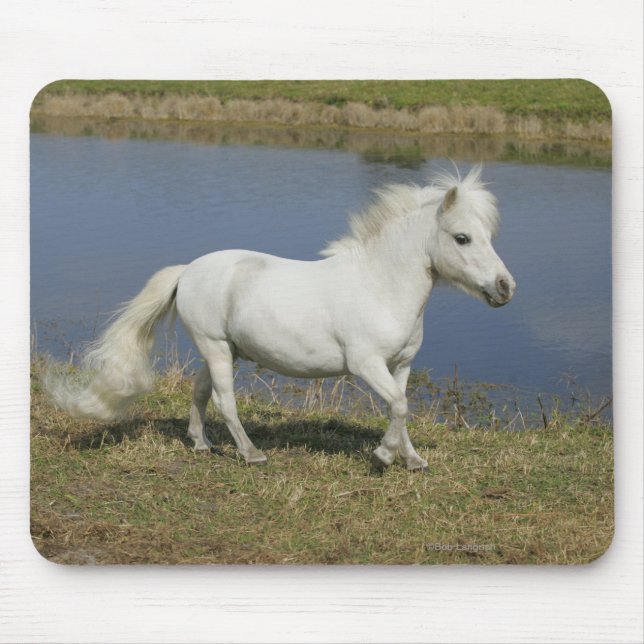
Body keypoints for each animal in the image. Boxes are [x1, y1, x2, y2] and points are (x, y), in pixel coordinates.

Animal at [44, 165, 515, 471]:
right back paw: (251, 454)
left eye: (489, 235)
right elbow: (398, 407)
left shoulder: (401, 365)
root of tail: (188, 270)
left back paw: (201, 445)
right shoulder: (366, 364)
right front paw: (383, 457)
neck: (379, 285)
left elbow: (402, 409)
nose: (505, 287)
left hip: (224, 349)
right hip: (216, 348)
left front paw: (412, 459)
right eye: (462, 238)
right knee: (224, 400)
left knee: (200, 393)